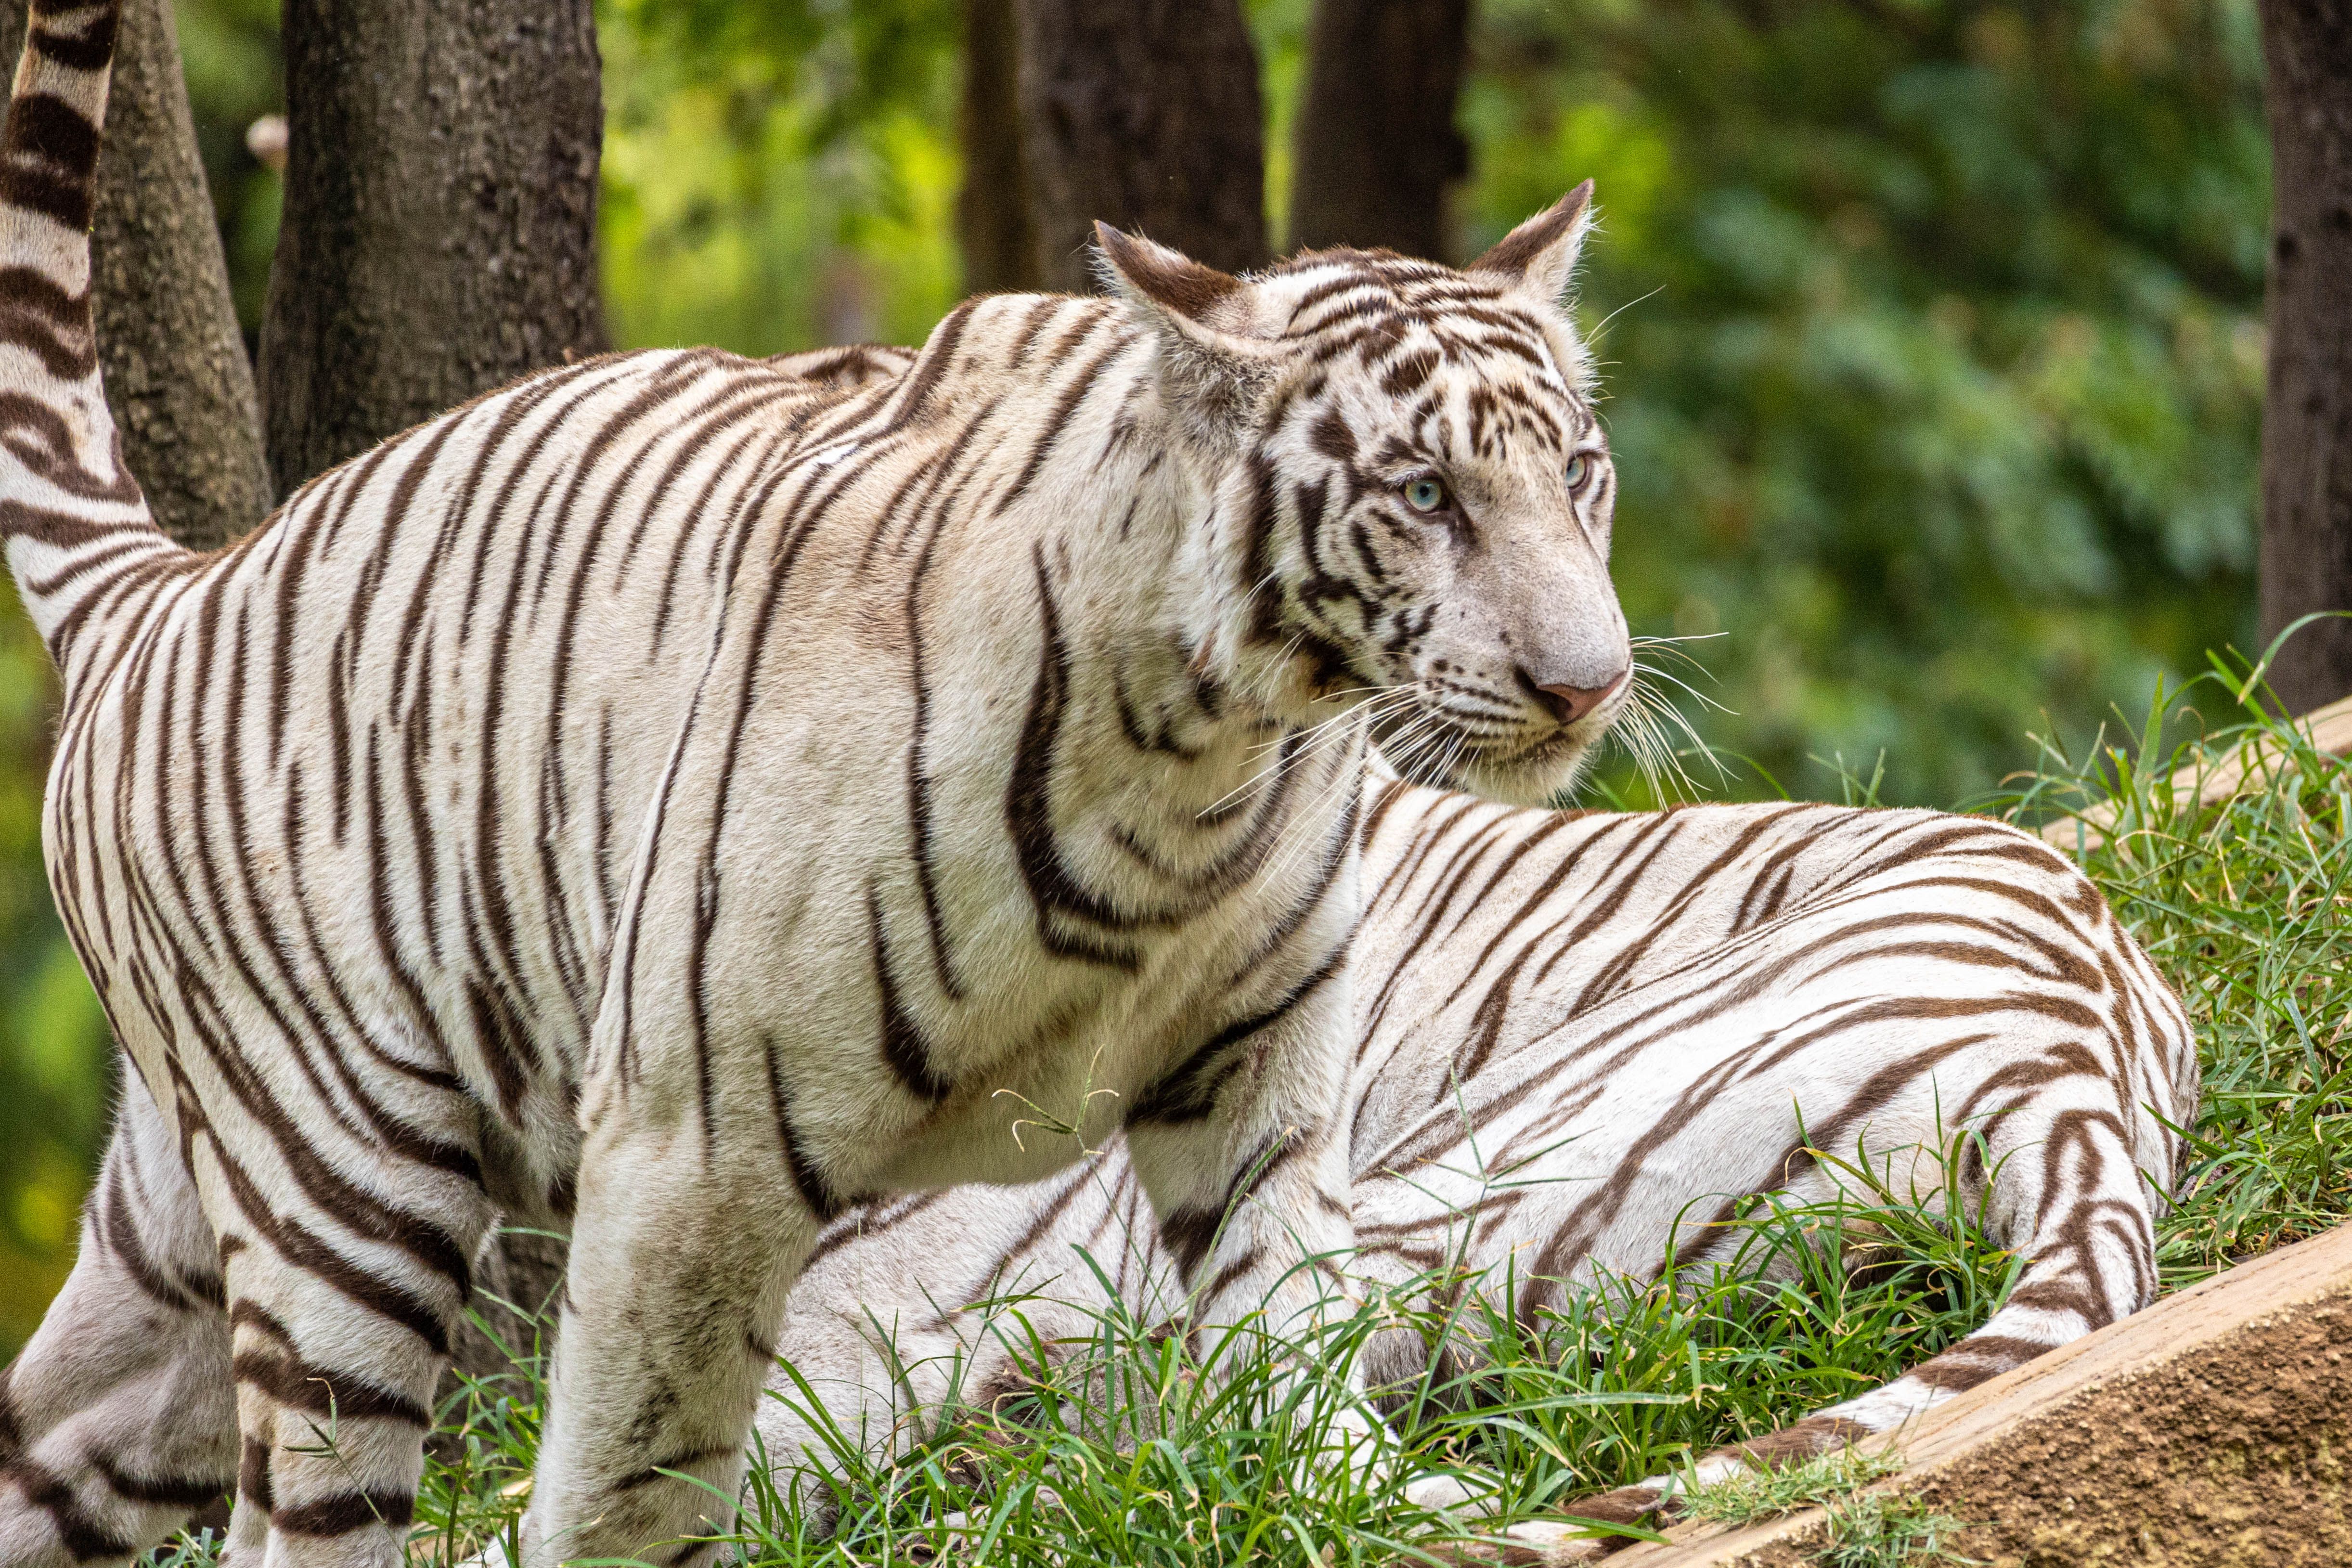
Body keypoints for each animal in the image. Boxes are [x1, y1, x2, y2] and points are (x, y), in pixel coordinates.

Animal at [0, 5, 1636, 1566]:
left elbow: (1287, 1303)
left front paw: (1355, 1494)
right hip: (349, 1193)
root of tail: (166, 586)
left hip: (176, 1249)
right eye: (1423, 494)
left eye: (1574, 469)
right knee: (309, 1514)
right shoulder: (690, 1147)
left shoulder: (1255, 1054)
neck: (1212, 762)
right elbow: (632, 1469)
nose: (1588, 682)